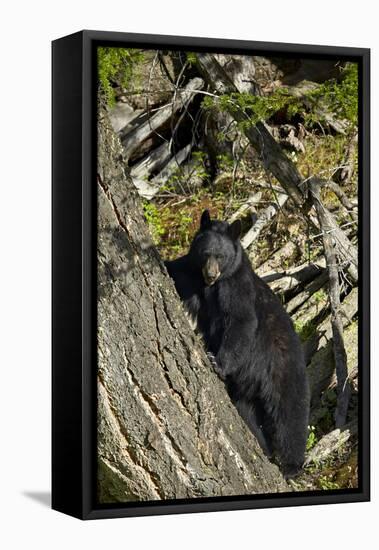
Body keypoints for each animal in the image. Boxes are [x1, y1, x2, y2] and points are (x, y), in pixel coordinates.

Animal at [166, 210, 312, 478]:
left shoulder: (237, 288)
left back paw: (291, 466)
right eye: (205, 253)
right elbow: (177, 272)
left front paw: (217, 362)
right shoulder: (193, 276)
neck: (213, 285)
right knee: (250, 415)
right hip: (245, 392)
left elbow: (241, 322)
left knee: (290, 415)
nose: (211, 274)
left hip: (284, 370)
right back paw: (264, 449)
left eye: (221, 256)